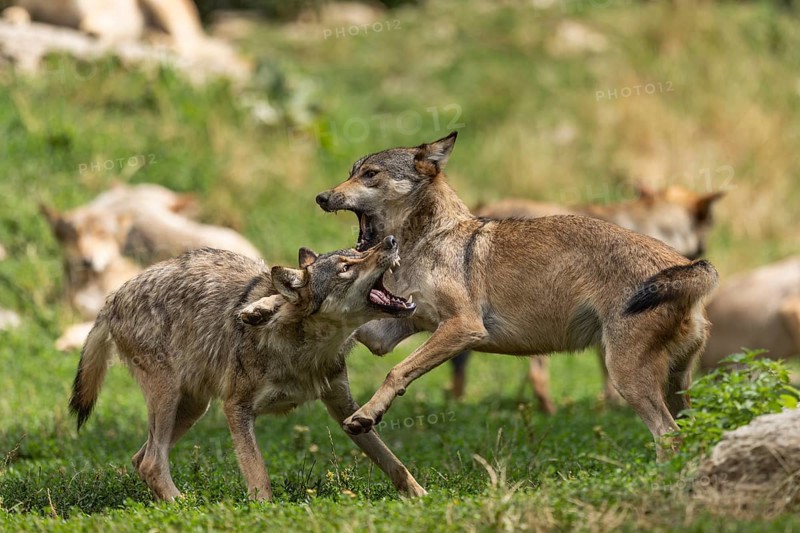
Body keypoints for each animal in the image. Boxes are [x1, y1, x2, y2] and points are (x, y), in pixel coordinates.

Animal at [68, 239, 425, 501]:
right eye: (346, 268)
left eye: (359, 251)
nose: (390, 240)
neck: (307, 349)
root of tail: (113, 297)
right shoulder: (236, 408)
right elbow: (259, 474)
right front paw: (264, 512)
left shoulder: (344, 408)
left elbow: (393, 461)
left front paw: (421, 497)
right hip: (171, 399)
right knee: (153, 462)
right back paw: (183, 506)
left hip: (193, 407)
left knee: (140, 459)